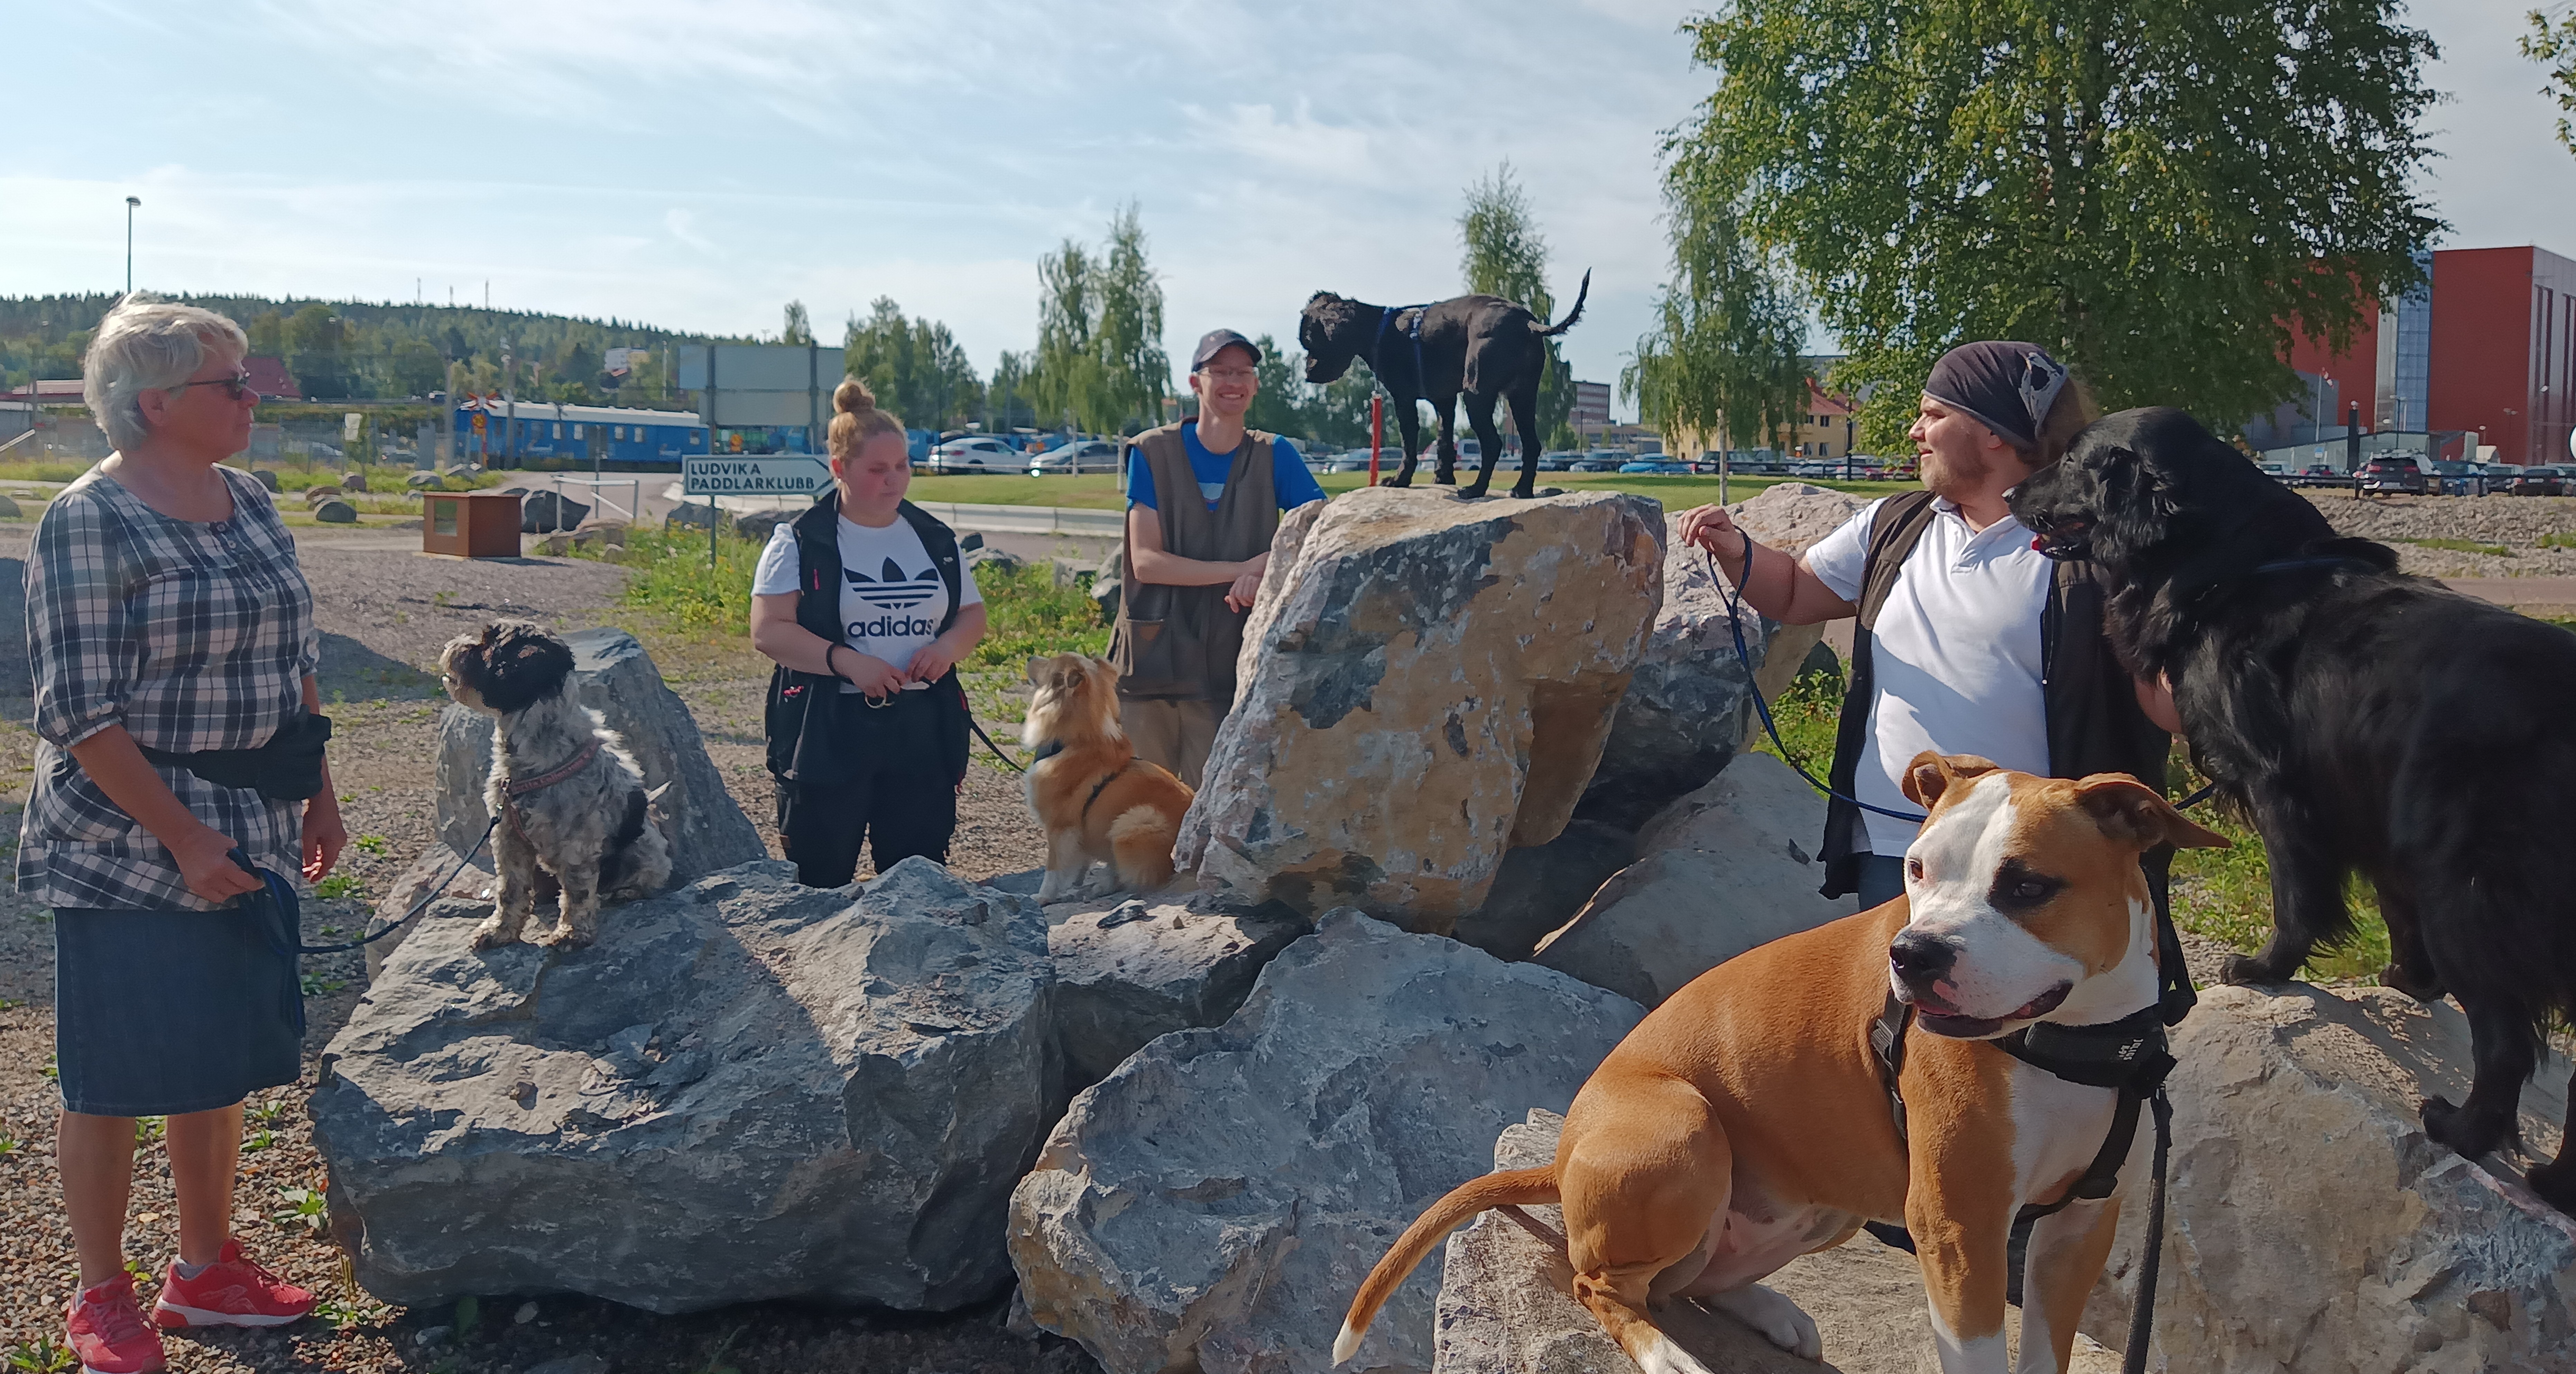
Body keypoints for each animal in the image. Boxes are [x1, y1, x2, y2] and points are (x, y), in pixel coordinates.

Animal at [439, 620, 674, 949]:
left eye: (487, 645)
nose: (453, 644)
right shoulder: (508, 839)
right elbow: (510, 891)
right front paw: (500, 930)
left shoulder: (578, 845)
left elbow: (577, 894)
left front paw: (572, 933)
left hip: (644, 852)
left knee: (646, 881)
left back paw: (624, 893)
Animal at [1020, 653, 1194, 904]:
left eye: (1049, 664)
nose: (1031, 656)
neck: (1076, 740)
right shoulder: (1077, 835)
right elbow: (1079, 866)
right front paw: (1073, 887)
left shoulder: (1059, 827)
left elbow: (1053, 870)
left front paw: (1042, 898)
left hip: (1136, 820)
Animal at [1298, 270, 1588, 500]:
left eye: (1311, 341)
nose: (1308, 375)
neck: (1378, 330)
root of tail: (1527, 323)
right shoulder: (1444, 401)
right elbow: (1444, 441)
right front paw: (1443, 478)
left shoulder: (1404, 399)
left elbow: (1409, 444)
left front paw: (1400, 480)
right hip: (1523, 396)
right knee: (1531, 445)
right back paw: (1521, 490)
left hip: (1477, 395)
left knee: (1493, 444)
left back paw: (1476, 490)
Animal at [1335, 754, 2223, 1373]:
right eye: (1917, 868)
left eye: (2029, 885)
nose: (1913, 953)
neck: (2073, 1039)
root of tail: (1559, 1153)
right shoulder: (1960, 1229)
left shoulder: (2079, 1226)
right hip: (1683, 1132)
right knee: (1604, 1286)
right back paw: (1668, 1356)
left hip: (1822, 1199)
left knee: (1687, 1280)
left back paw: (1772, 1313)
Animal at [2010, 406, 2576, 1210]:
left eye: (2070, 460)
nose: (2009, 493)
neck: (2226, 566)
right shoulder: (2370, 811)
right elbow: (2393, 912)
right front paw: (2406, 981)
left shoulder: (2278, 784)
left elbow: (2296, 896)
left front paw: (2265, 968)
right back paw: (2555, 1181)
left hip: (2467, 888)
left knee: (2502, 1041)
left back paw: (2462, 1131)